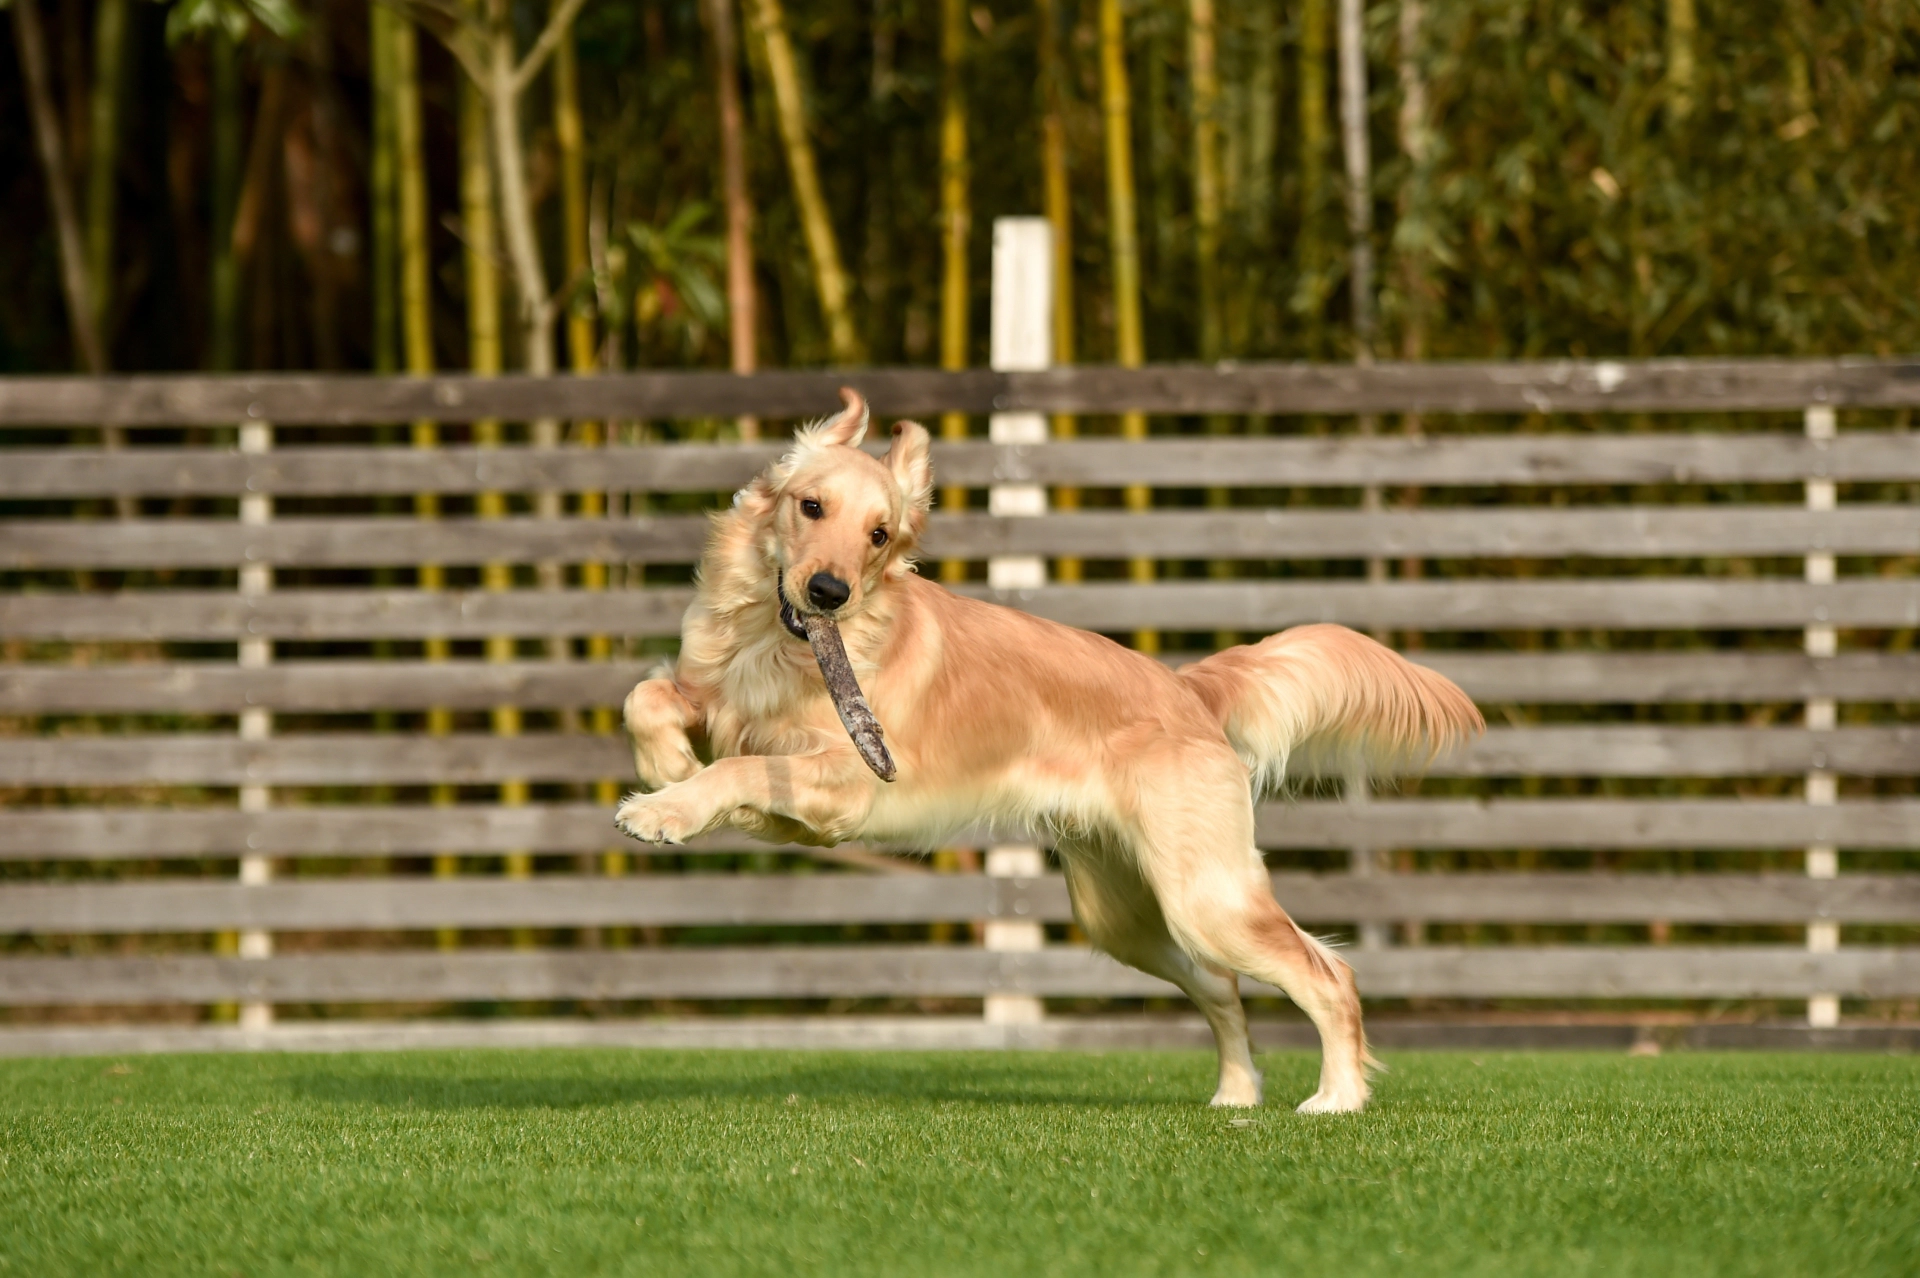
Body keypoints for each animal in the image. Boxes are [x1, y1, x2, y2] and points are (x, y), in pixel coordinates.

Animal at [618, 387, 1482, 1105]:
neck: (775, 645)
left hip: (1207, 898)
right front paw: (666, 772)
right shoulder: (718, 699)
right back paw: (1237, 1098)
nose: (830, 592)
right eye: (810, 505)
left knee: (1327, 973)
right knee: (1223, 989)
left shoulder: (851, 783)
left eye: (879, 535)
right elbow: (649, 699)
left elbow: (740, 765)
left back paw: (1337, 1098)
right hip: (1126, 915)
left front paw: (664, 811)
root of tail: (1187, 689)